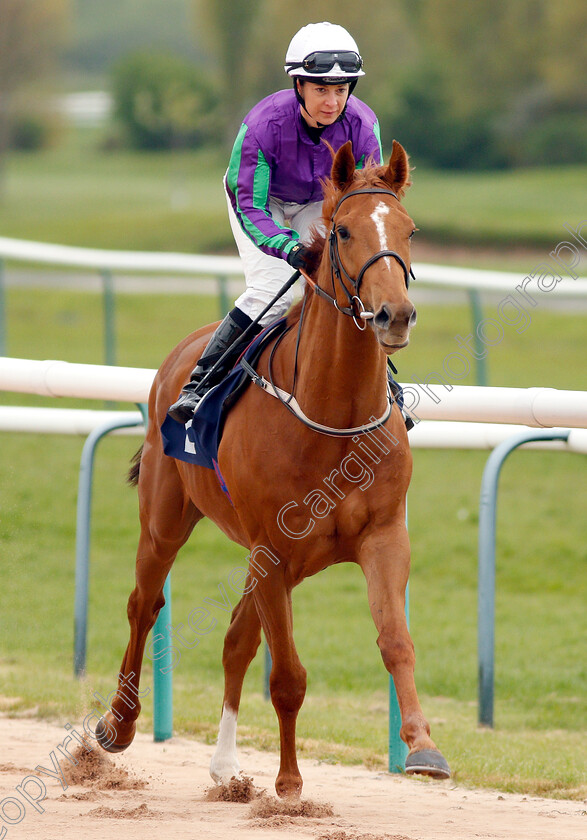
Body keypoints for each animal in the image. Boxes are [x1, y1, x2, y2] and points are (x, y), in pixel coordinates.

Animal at [99, 141, 452, 796]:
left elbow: (396, 641)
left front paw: (423, 747)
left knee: (237, 639)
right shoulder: (272, 550)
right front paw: (288, 783)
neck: (332, 416)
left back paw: (225, 766)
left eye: (410, 230)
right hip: (166, 520)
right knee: (144, 604)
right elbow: (287, 674)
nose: (395, 315)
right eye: (342, 231)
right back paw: (118, 724)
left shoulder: (382, 536)